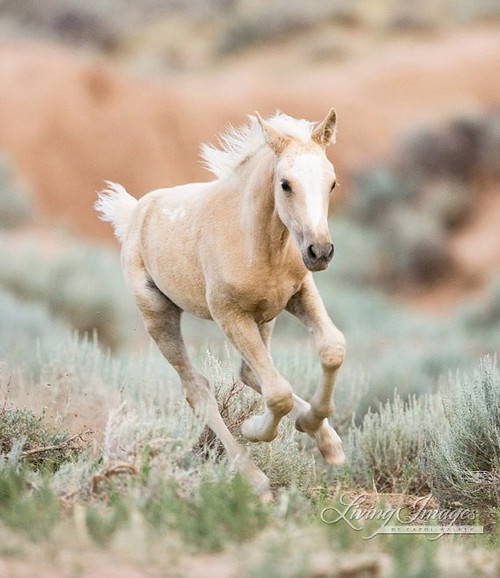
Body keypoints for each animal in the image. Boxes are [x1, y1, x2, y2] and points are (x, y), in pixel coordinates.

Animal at [97, 110, 348, 498]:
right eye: (285, 184)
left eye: (332, 183)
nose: (319, 252)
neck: (259, 242)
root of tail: (135, 211)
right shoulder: (230, 315)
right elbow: (278, 393)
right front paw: (254, 431)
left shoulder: (298, 294)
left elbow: (332, 349)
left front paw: (319, 433)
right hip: (159, 315)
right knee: (198, 390)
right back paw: (254, 478)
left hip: (266, 318)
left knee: (249, 374)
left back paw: (327, 441)